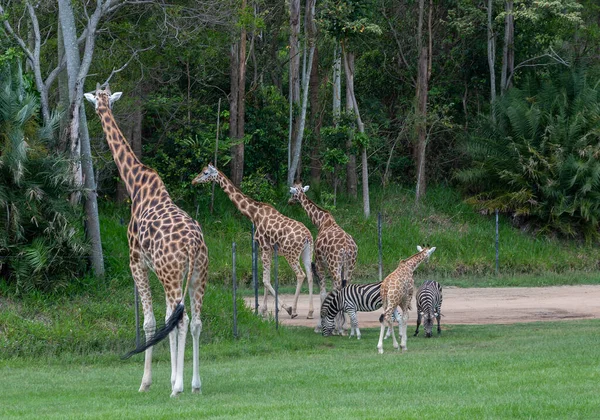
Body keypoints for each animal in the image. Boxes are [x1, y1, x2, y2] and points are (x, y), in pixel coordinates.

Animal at [83, 84, 207, 398]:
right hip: (197, 274)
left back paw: (178, 388)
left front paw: (147, 382)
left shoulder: (136, 262)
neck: (135, 184)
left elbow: (151, 322)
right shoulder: (158, 270)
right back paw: (195, 385)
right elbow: (166, 319)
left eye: (96, 98)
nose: (97, 107)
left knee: (183, 320)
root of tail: (193, 244)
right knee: (196, 320)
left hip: (172, 273)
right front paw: (172, 378)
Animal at [193, 163, 316, 318]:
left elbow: (265, 280)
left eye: (205, 173)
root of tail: (307, 237)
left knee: (301, 275)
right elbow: (267, 279)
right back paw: (310, 312)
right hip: (307, 252)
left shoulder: (263, 246)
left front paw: (281, 308)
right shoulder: (269, 250)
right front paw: (263, 310)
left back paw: (293, 310)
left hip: (291, 254)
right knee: (310, 275)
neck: (253, 214)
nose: (194, 181)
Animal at [290, 182, 358, 334]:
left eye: (291, 192)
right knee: (345, 286)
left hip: (334, 264)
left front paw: (321, 326)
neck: (321, 222)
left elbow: (323, 293)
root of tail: (347, 248)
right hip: (349, 265)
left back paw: (338, 328)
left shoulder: (320, 264)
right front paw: (340, 323)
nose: (289, 201)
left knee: (338, 287)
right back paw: (345, 326)